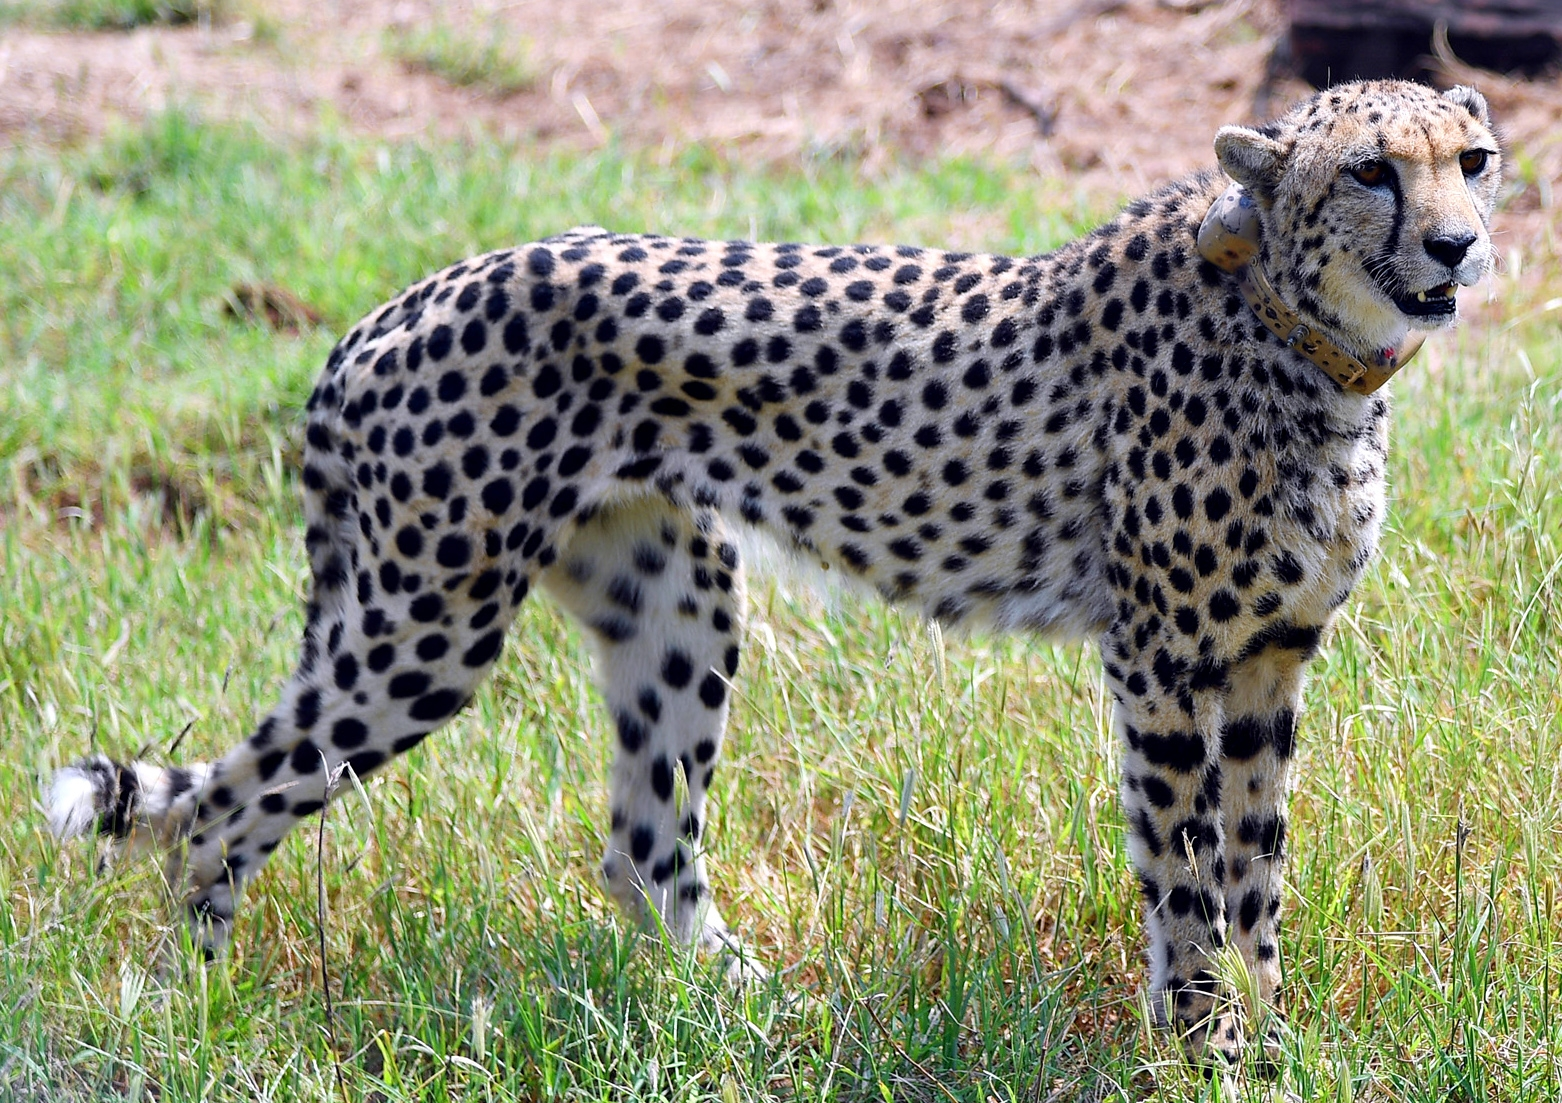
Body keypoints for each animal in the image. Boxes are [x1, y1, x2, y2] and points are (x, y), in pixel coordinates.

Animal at [45, 81, 1499, 1062]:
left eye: (1472, 161)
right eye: (1371, 171)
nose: (1457, 246)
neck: (1302, 336)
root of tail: (394, 305)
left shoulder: (1265, 660)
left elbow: (1257, 871)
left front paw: (1269, 1038)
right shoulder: (1160, 660)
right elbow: (1185, 872)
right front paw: (1203, 1046)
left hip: (673, 597)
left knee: (641, 844)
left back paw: (753, 1013)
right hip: (427, 621)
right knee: (221, 804)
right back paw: (191, 1007)